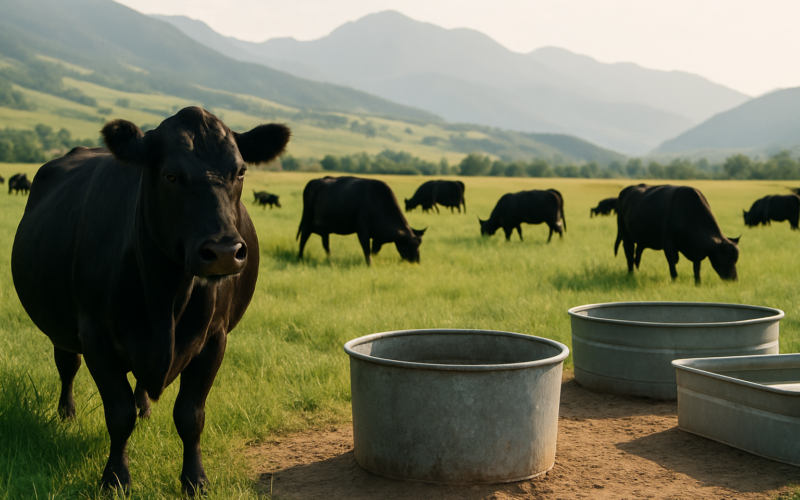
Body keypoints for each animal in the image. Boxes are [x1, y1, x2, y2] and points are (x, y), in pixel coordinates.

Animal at [11, 107, 290, 495]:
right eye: (170, 175)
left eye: (240, 171)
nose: (223, 252)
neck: (166, 299)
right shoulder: (95, 336)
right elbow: (118, 413)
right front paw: (115, 478)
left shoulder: (214, 338)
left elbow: (190, 415)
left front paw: (195, 480)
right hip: (62, 328)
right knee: (67, 365)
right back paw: (66, 414)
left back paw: (144, 408)